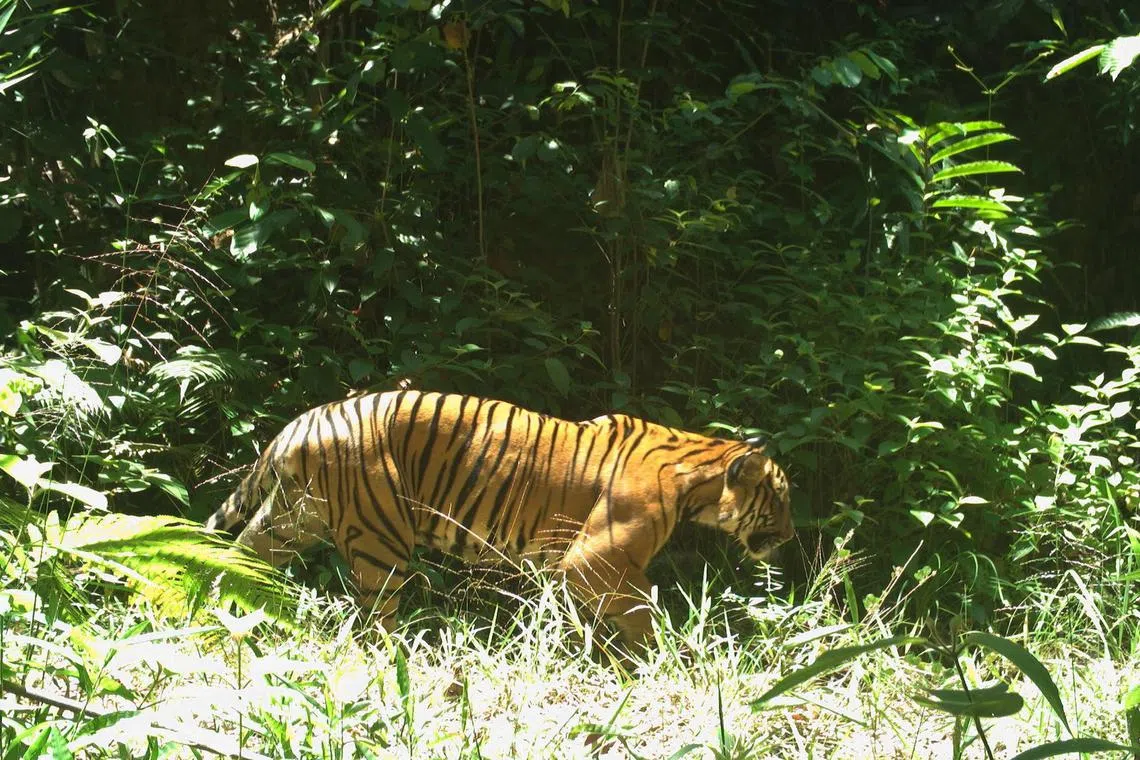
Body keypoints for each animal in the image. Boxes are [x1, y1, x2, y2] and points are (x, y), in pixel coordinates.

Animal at [205, 390, 794, 644]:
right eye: (782, 498)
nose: (790, 535)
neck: (699, 477)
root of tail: (303, 421)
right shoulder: (594, 560)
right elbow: (643, 607)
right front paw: (650, 664)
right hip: (378, 540)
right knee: (378, 621)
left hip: (290, 520)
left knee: (237, 559)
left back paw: (218, 618)